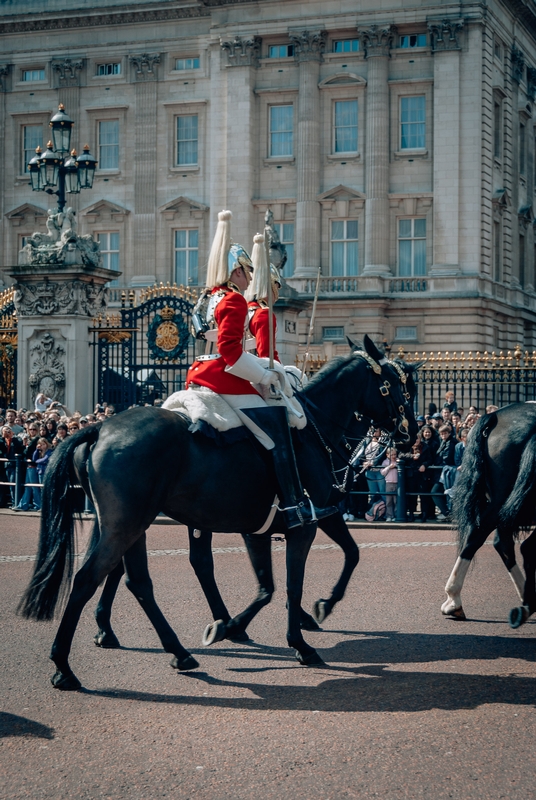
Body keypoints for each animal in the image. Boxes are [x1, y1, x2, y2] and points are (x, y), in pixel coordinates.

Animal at [19, 334, 418, 692]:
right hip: (126, 524)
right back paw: (64, 667)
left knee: (137, 581)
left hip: (124, 523)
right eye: (400, 387)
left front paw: (234, 625)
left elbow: (273, 584)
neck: (315, 430)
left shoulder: (264, 527)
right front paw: (304, 633)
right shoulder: (309, 521)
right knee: (91, 578)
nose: (410, 435)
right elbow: (297, 581)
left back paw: (174, 650)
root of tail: (101, 427)